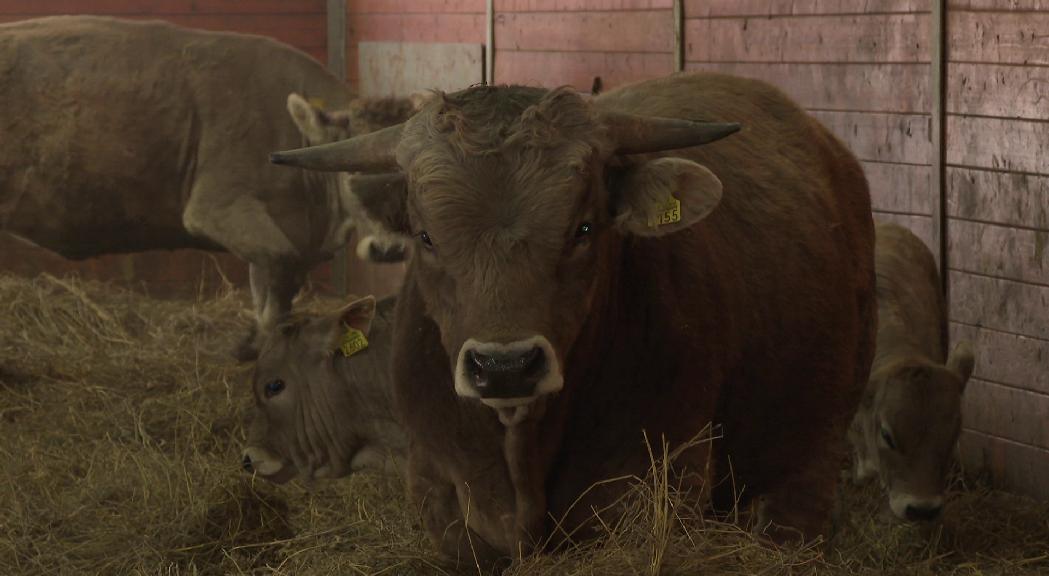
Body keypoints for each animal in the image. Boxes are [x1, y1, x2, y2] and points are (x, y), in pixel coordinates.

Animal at [0, 14, 409, 358]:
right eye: (351, 170)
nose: (392, 249)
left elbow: (271, 287)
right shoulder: (217, 207)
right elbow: (280, 269)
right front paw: (254, 346)